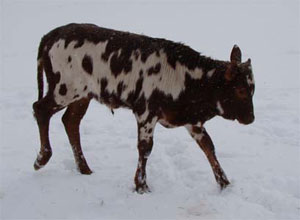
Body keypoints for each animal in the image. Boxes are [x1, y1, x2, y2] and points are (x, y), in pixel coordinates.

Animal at [32, 23, 254, 193]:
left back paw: (84, 168)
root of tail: (51, 35)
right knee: (40, 109)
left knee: (71, 121)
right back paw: (42, 158)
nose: (251, 118)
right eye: (241, 90)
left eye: (253, 89)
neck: (187, 80)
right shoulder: (146, 112)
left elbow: (208, 146)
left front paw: (224, 183)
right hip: (64, 89)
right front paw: (141, 185)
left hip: (82, 95)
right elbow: (145, 148)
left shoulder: (190, 120)